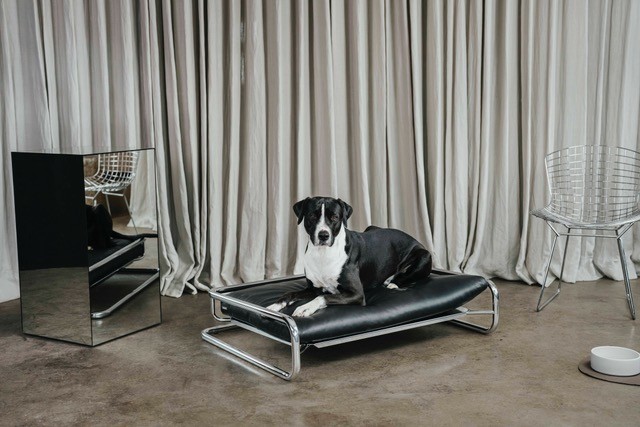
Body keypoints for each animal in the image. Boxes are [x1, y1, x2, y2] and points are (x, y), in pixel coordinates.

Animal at [267, 196, 432, 317]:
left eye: (334, 217)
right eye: (312, 216)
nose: (323, 235)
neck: (323, 254)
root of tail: (414, 239)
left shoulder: (356, 294)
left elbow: (322, 297)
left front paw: (305, 308)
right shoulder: (313, 289)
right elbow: (289, 293)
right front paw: (274, 306)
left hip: (424, 255)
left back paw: (392, 282)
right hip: (371, 227)